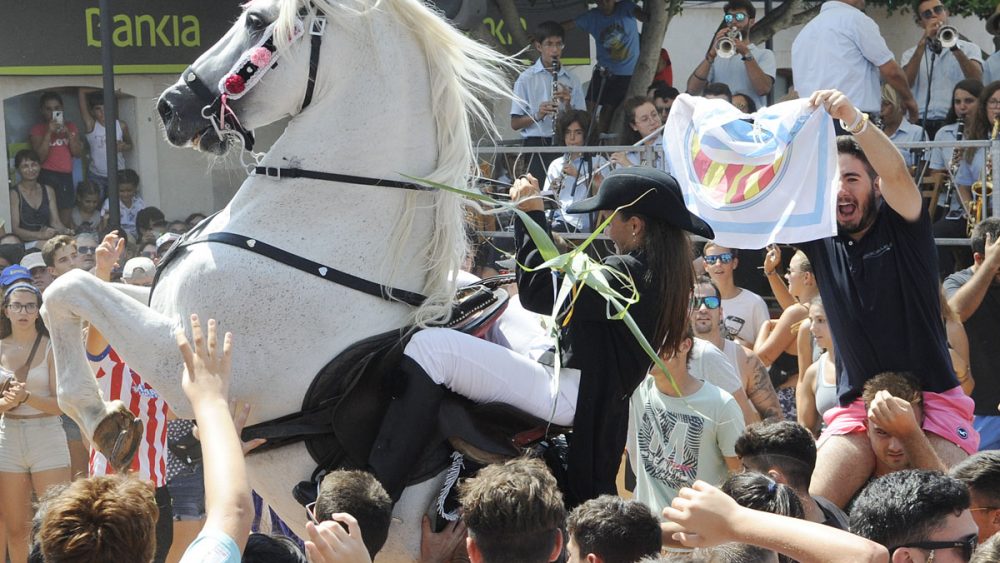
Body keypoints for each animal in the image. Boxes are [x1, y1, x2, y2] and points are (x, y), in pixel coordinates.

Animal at [41, 0, 508, 556]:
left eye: (256, 21)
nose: (171, 107)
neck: (321, 237)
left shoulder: (181, 356)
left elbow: (70, 287)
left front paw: (102, 419)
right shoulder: (158, 305)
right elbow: (60, 292)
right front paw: (105, 412)